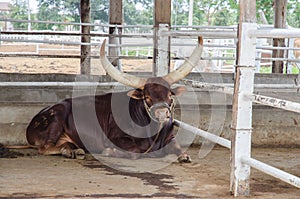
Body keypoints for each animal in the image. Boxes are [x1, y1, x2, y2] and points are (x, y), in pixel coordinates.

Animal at [26, 37, 204, 162]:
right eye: (147, 97)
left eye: (169, 95)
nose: (162, 114)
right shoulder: (116, 138)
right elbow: (134, 152)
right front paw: (109, 152)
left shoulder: (170, 138)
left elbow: (178, 147)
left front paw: (184, 156)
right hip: (57, 117)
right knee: (45, 148)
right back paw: (70, 151)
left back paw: (72, 150)